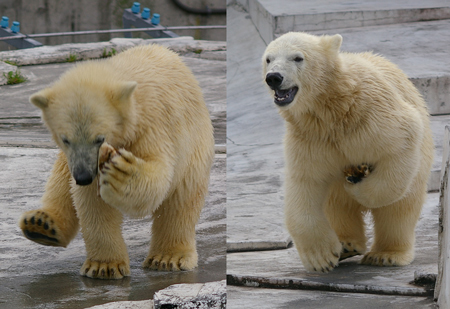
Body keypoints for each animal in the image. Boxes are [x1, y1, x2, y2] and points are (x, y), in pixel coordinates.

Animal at [20, 44, 216, 278]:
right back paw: (41, 225)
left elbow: (158, 175)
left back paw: (168, 258)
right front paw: (104, 266)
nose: (83, 177)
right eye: (65, 139)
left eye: (99, 138)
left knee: (182, 199)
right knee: (60, 178)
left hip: (194, 147)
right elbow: (91, 201)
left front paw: (121, 174)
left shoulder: (153, 127)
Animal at [262, 32, 434, 270]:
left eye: (298, 58)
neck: (332, 108)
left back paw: (385, 254)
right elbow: (304, 183)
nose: (274, 77)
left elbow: (402, 139)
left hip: (419, 170)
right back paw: (346, 245)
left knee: (399, 211)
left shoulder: (371, 111)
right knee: (336, 205)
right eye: (268, 59)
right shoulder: (310, 138)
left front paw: (357, 186)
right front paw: (321, 257)